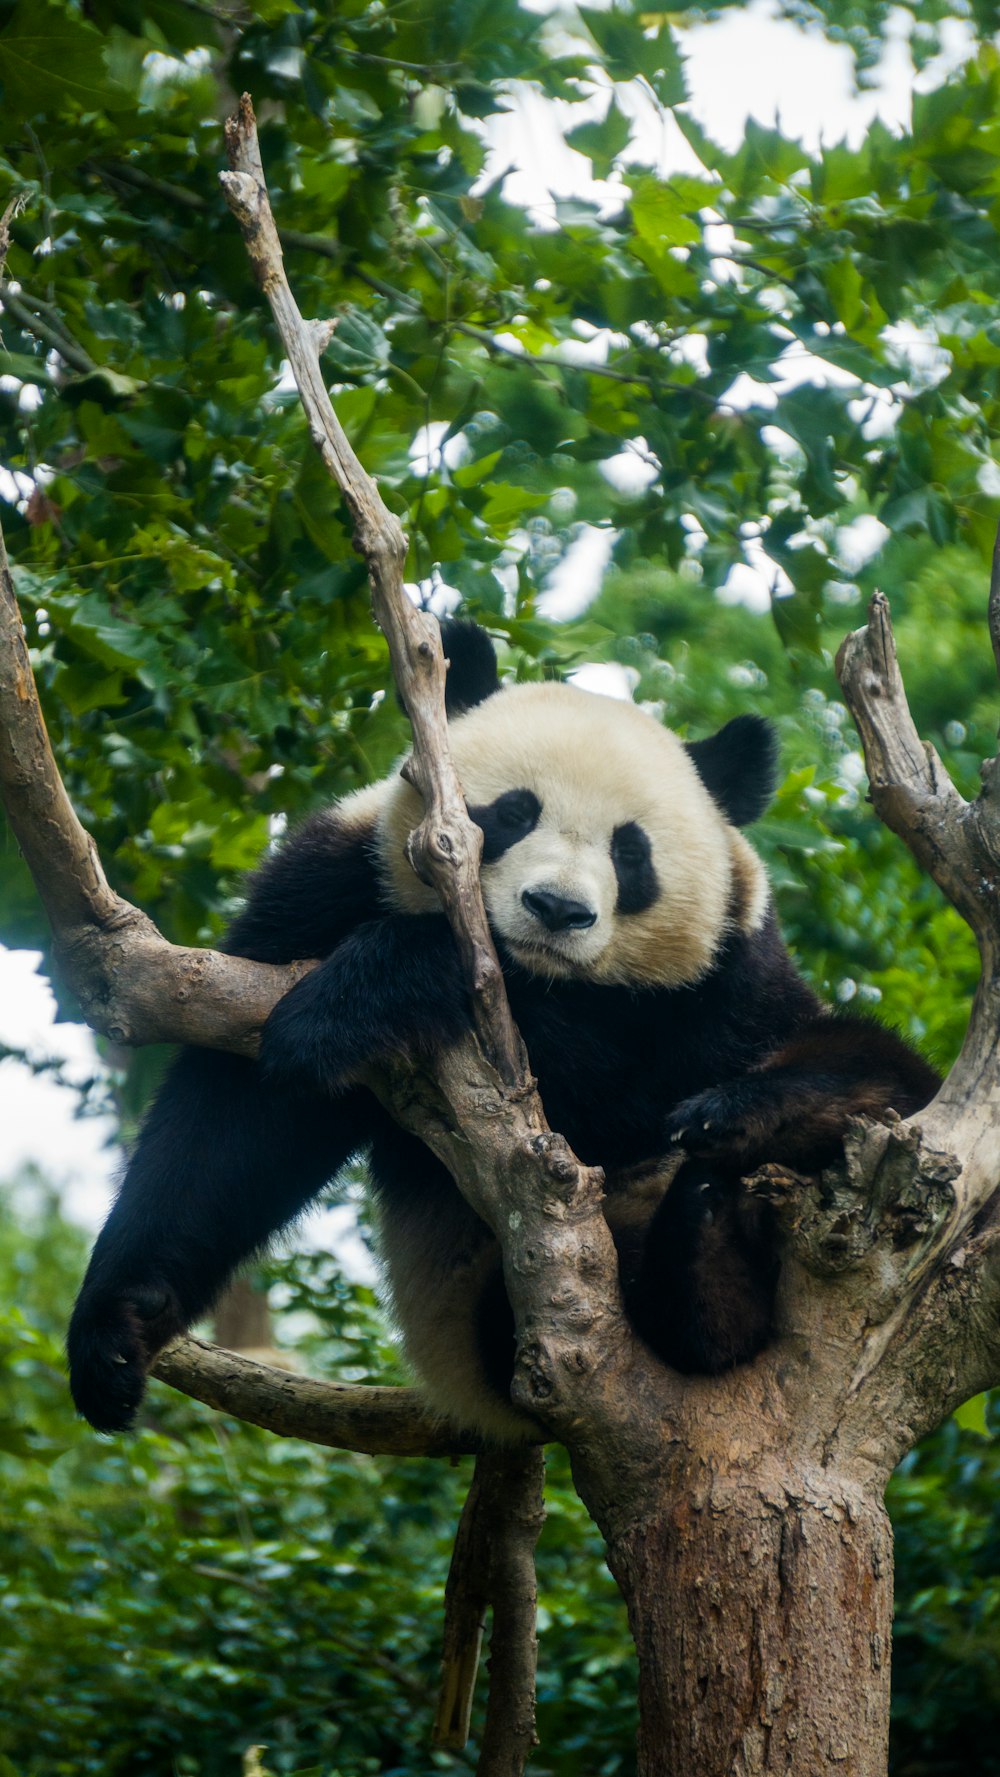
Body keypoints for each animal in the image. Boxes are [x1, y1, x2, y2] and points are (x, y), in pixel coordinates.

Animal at [66, 621, 944, 1442]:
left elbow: (612, 1075)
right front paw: (116, 1335)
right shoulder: (323, 887)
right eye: (514, 813)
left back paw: (737, 1164)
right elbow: (234, 1123)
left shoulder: (732, 976)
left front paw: (357, 997)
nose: (557, 909)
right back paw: (707, 1256)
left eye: (631, 852)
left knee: (875, 1072)